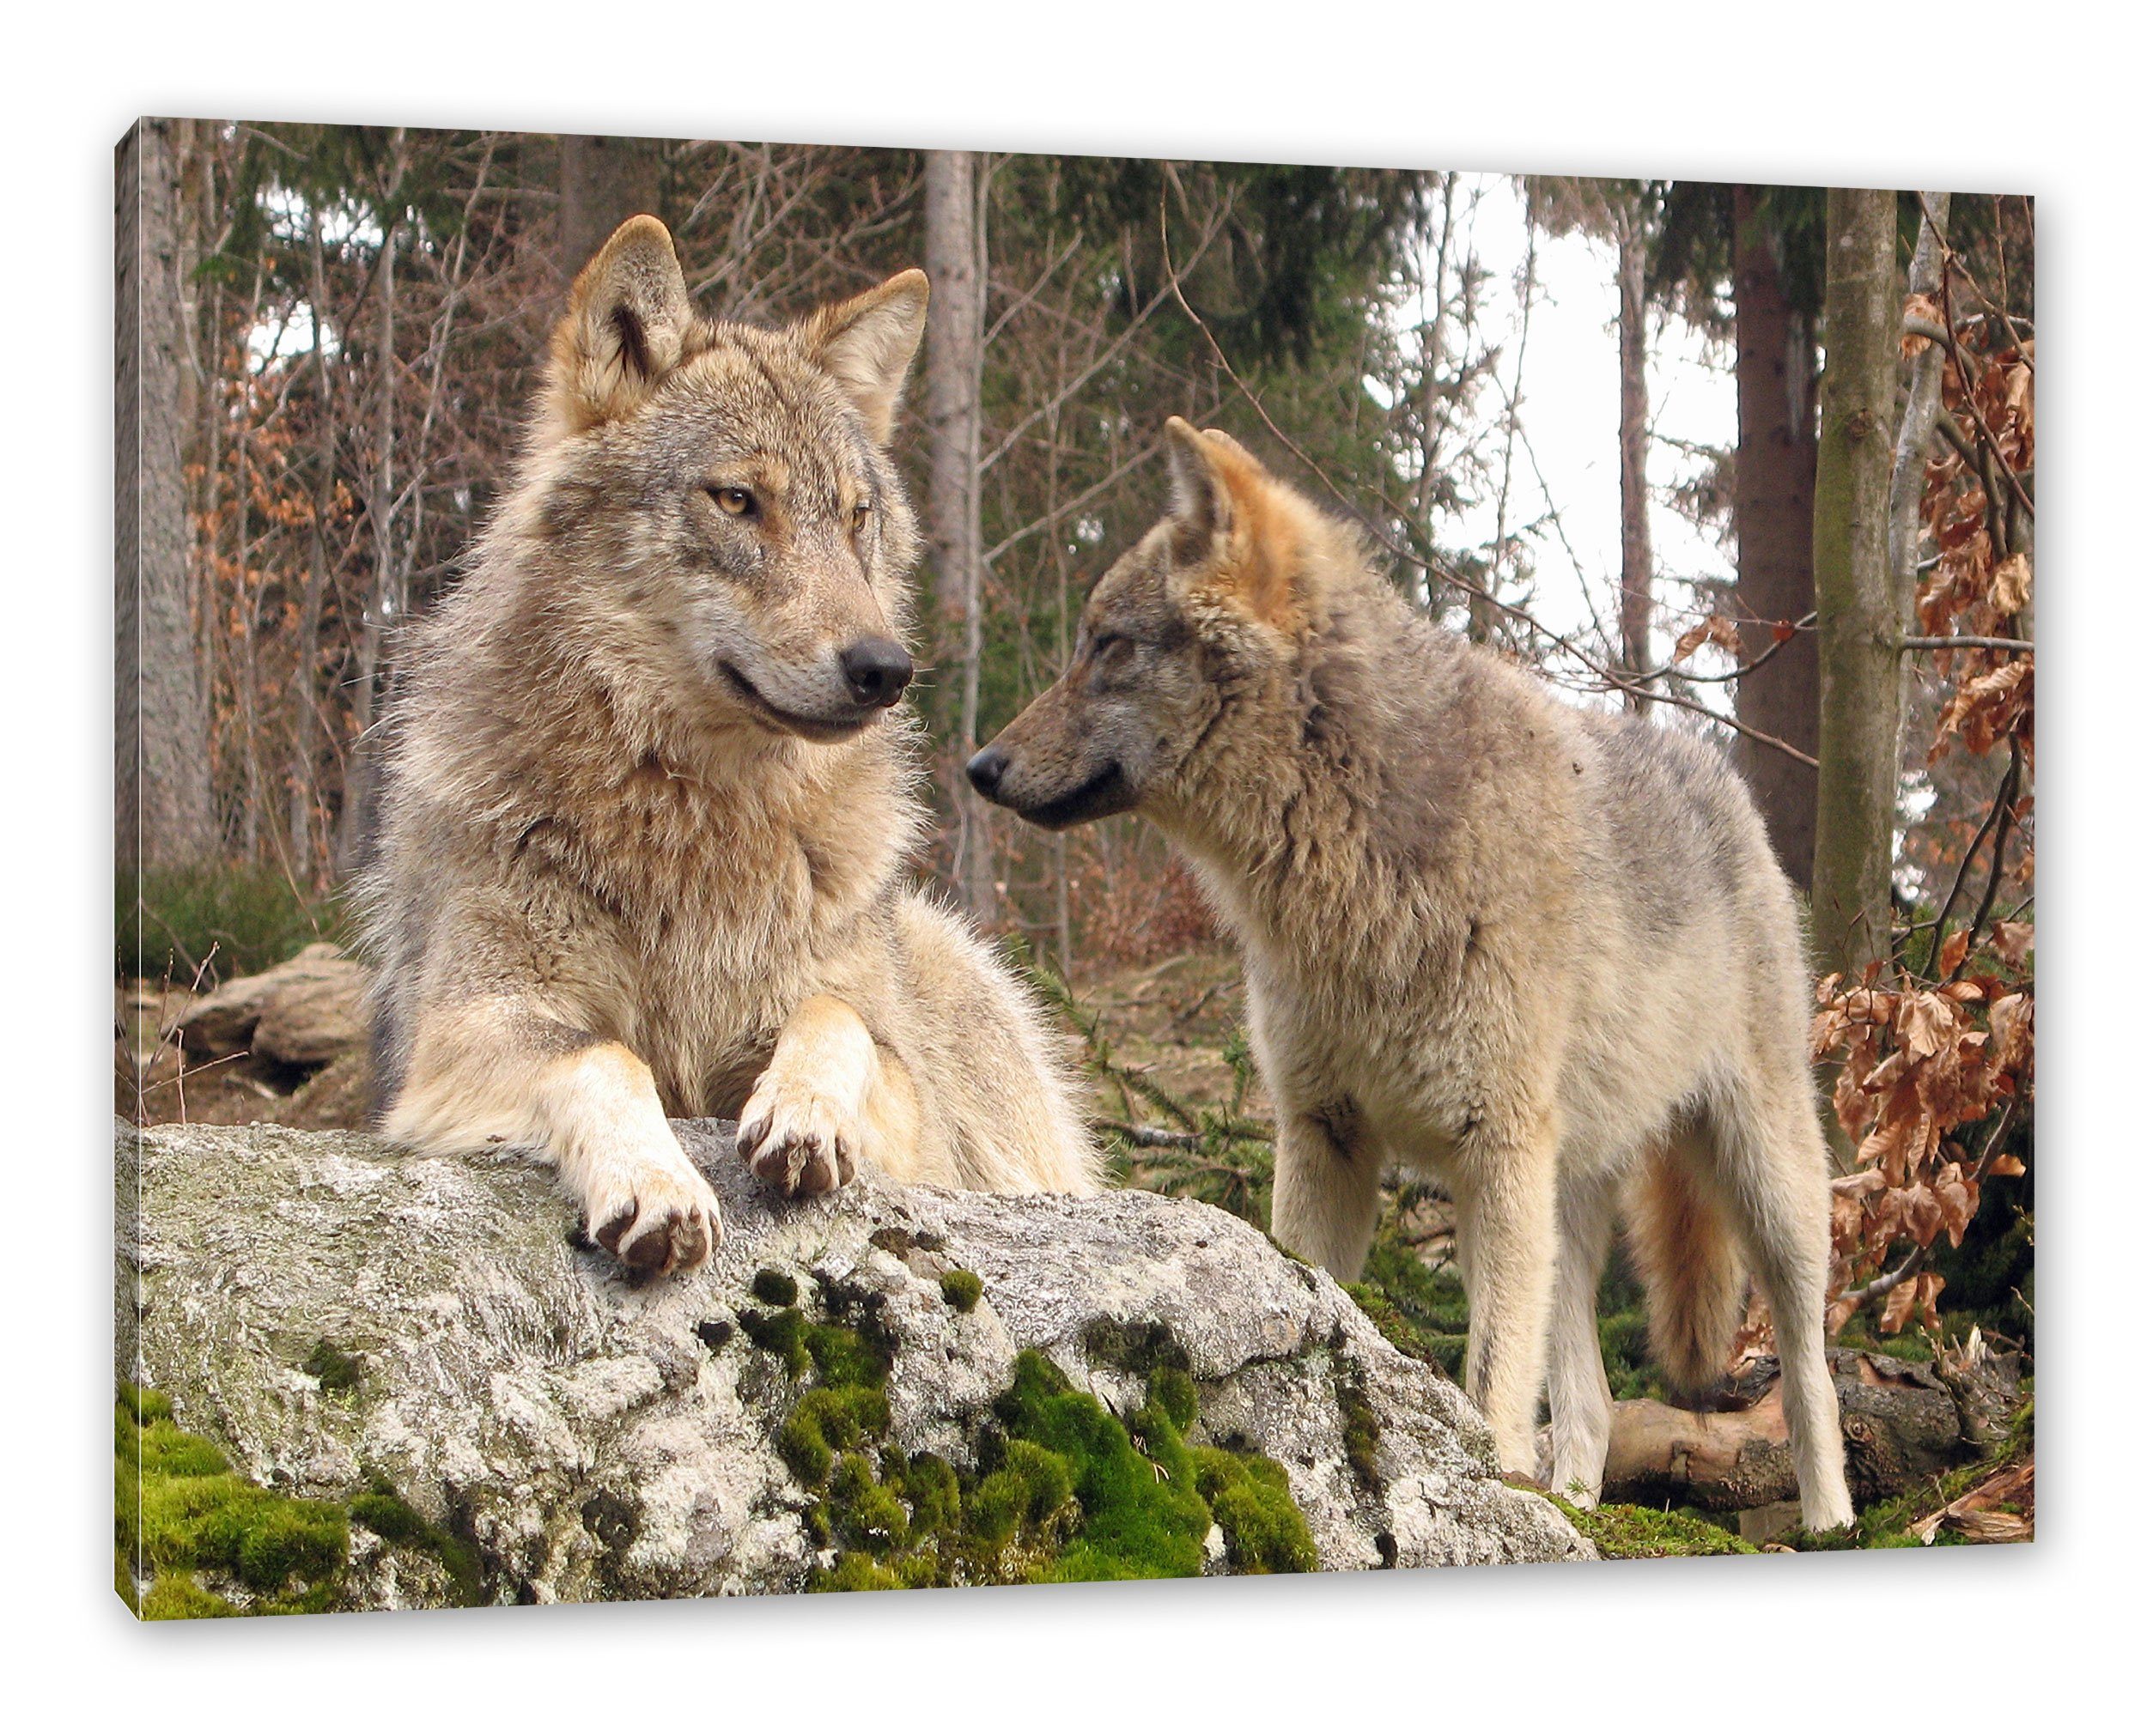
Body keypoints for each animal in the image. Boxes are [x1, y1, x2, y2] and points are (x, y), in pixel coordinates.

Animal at [358, 216, 1101, 1279]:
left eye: (855, 515)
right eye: (739, 500)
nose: (885, 667)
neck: (693, 813)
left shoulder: (905, 1098)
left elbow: (838, 1020)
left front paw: (804, 1114)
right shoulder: (463, 1035)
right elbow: (607, 1056)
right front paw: (655, 1180)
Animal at [968, 418, 1855, 1529]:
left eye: (1107, 645)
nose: (979, 767)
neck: (1347, 866)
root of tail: (1723, 779)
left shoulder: (1492, 1152)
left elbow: (1489, 1378)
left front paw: (1486, 1491)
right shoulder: (1323, 1136)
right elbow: (1318, 1303)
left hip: (1760, 1186)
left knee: (1808, 1363)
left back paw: (1828, 1521)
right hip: (1562, 1211)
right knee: (1592, 1404)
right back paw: (1572, 1503)